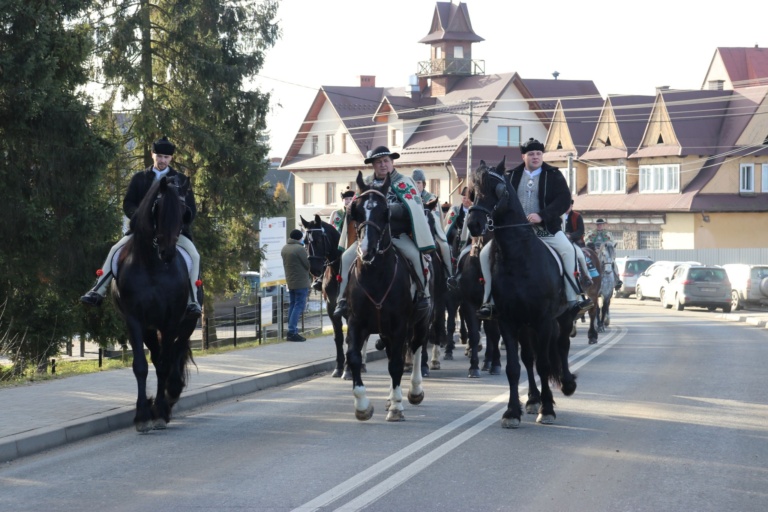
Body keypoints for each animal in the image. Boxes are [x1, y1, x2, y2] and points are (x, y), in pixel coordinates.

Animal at [112, 176, 201, 432]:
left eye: (184, 211)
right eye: (157, 208)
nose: (168, 252)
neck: (153, 266)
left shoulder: (170, 321)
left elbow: (164, 364)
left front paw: (160, 411)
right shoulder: (135, 321)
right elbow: (141, 366)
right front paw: (143, 415)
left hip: (186, 323)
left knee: (175, 354)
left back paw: (172, 393)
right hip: (151, 329)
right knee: (157, 354)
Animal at [344, 171, 428, 420]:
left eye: (385, 213)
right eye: (356, 211)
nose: (366, 250)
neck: (375, 277)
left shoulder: (399, 324)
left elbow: (397, 364)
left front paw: (397, 407)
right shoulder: (356, 322)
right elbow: (354, 357)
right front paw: (362, 405)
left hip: (421, 320)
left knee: (416, 347)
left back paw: (413, 391)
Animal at [462, 159, 576, 428]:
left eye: (498, 189)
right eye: (473, 190)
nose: (474, 224)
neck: (519, 257)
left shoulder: (543, 320)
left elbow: (544, 364)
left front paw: (547, 409)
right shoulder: (508, 320)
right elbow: (514, 367)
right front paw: (512, 411)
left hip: (562, 318)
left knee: (562, 346)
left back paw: (566, 384)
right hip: (525, 326)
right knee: (528, 358)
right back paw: (533, 399)